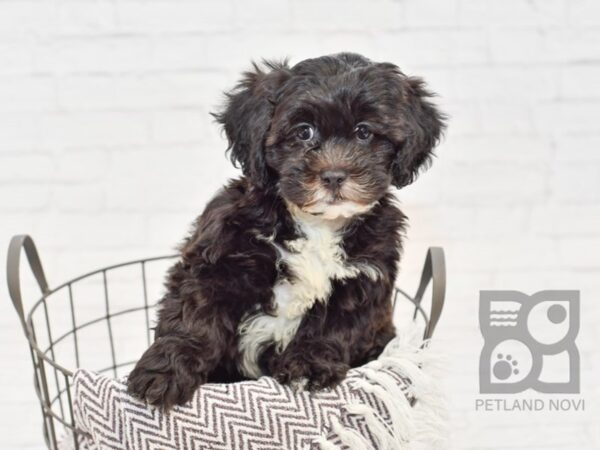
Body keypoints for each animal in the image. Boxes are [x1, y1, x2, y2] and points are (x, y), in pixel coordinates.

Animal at [127, 51, 446, 408]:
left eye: (364, 132)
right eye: (303, 132)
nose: (334, 176)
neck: (316, 223)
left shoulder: (364, 279)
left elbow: (335, 325)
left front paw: (308, 365)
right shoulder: (218, 257)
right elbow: (192, 314)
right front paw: (164, 373)